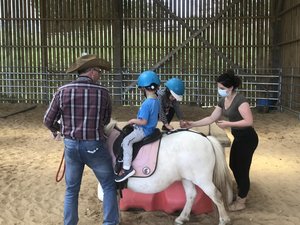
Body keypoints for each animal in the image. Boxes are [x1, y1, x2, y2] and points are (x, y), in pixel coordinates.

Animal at [99, 121, 233, 225]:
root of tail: (206, 139)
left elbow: (112, 202)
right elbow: (115, 201)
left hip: (203, 179)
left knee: (216, 195)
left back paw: (224, 220)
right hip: (187, 178)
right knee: (191, 195)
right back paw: (181, 218)